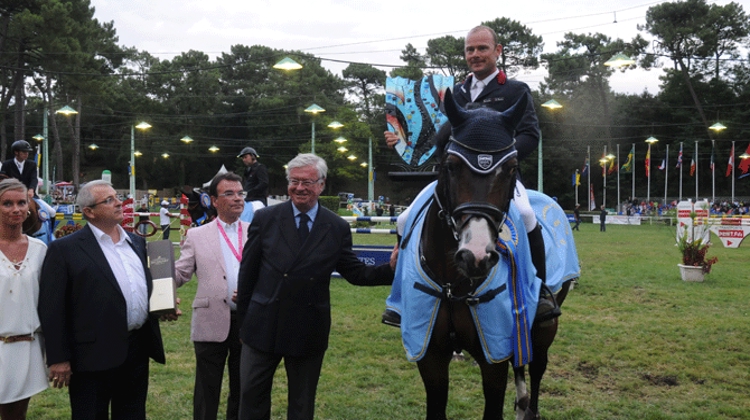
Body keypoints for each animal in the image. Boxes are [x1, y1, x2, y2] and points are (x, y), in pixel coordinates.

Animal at [406, 90, 576, 418]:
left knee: (536, 366)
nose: (476, 256)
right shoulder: (430, 356)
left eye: (510, 168)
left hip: (546, 324)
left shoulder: (493, 358)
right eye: (450, 165)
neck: (452, 285)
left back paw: (529, 408)